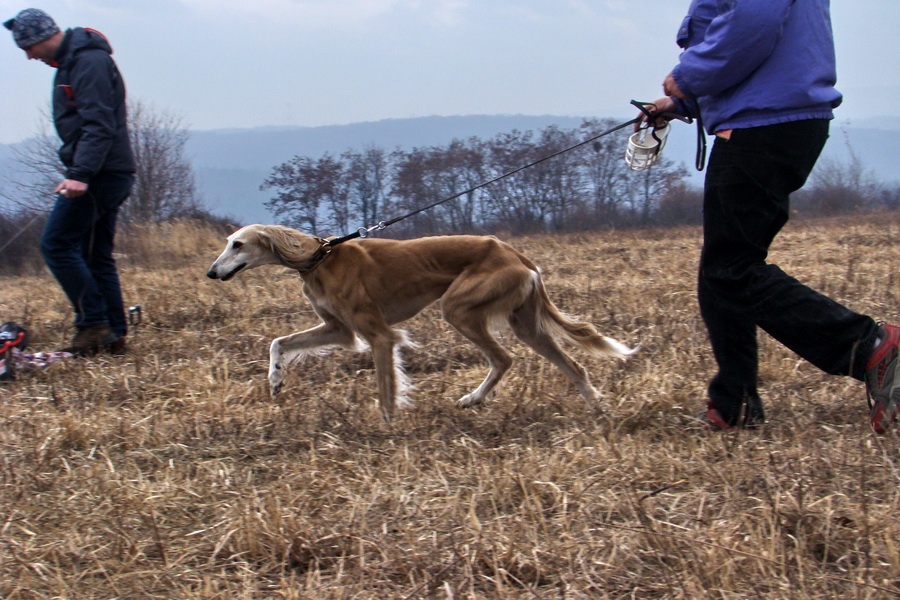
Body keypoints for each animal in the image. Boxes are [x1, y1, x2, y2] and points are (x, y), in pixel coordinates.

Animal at [207, 225, 636, 422]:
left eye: (238, 244)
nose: (211, 273)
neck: (319, 259)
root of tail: (516, 254)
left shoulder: (379, 334)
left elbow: (385, 388)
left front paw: (387, 427)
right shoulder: (340, 330)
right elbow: (278, 342)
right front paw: (275, 380)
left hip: (458, 308)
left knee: (503, 358)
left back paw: (474, 398)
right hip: (524, 323)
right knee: (573, 364)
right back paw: (596, 406)